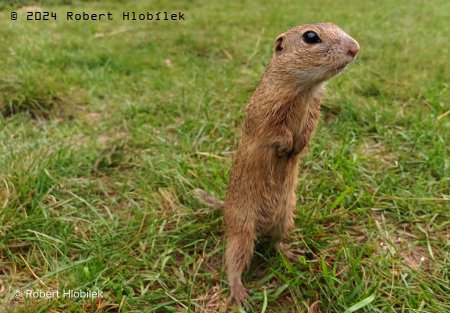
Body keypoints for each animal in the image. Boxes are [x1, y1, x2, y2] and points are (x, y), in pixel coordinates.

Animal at [193, 23, 358, 306]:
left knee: (274, 243)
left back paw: (291, 252)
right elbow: (274, 133)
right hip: (241, 231)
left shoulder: (314, 108)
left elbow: (308, 129)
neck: (304, 90)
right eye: (311, 37)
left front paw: (297, 147)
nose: (355, 48)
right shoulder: (267, 111)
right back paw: (239, 293)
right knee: (233, 260)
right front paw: (286, 147)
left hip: (285, 217)